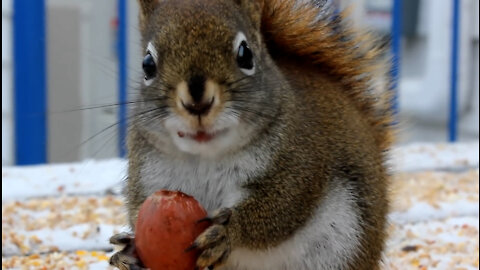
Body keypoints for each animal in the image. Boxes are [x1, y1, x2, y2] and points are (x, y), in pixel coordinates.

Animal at [109, 0, 394, 268]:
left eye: (245, 54)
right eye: (147, 64)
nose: (197, 102)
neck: (205, 156)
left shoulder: (300, 161)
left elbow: (281, 208)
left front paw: (228, 232)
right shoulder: (148, 175)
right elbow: (136, 209)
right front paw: (129, 250)